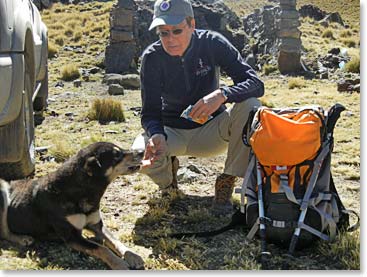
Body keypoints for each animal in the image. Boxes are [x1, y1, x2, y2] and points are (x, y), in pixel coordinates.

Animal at [0, 141, 146, 268]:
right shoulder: (72, 236)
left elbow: (114, 240)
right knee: (4, 233)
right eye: (116, 155)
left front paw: (133, 256)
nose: (142, 151)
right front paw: (119, 264)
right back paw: (23, 239)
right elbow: (101, 248)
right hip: (3, 193)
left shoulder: (96, 225)